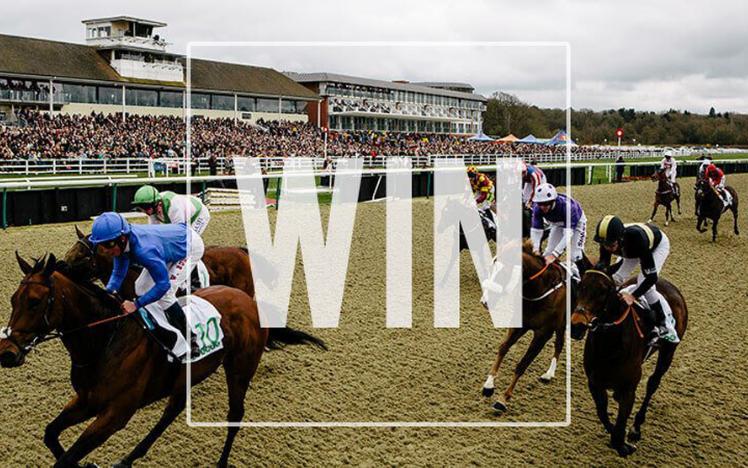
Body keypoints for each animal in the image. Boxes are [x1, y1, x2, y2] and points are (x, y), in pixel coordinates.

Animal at [0, 254, 300, 466]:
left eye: (35, 301)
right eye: (13, 299)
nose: (6, 352)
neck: (105, 341)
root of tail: (248, 300)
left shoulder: (115, 414)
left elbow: (66, 459)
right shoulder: (86, 401)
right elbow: (51, 434)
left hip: (240, 368)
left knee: (235, 415)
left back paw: (222, 462)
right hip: (189, 375)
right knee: (173, 410)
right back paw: (128, 459)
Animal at [482, 241, 568, 414]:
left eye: (504, 272)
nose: (484, 302)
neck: (540, 291)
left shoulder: (543, 335)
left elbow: (523, 364)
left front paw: (503, 399)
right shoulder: (520, 324)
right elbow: (503, 348)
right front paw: (489, 385)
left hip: (562, 324)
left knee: (559, 344)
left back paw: (549, 374)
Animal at [572, 268, 688, 456]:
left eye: (603, 291)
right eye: (580, 285)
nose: (577, 325)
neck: (609, 346)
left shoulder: (629, 388)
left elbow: (620, 422)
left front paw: (623, 444)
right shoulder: (594, 383)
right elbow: (602, 412)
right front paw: (619, 438)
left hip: (668, 352)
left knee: (653, 383)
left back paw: (636, 427)